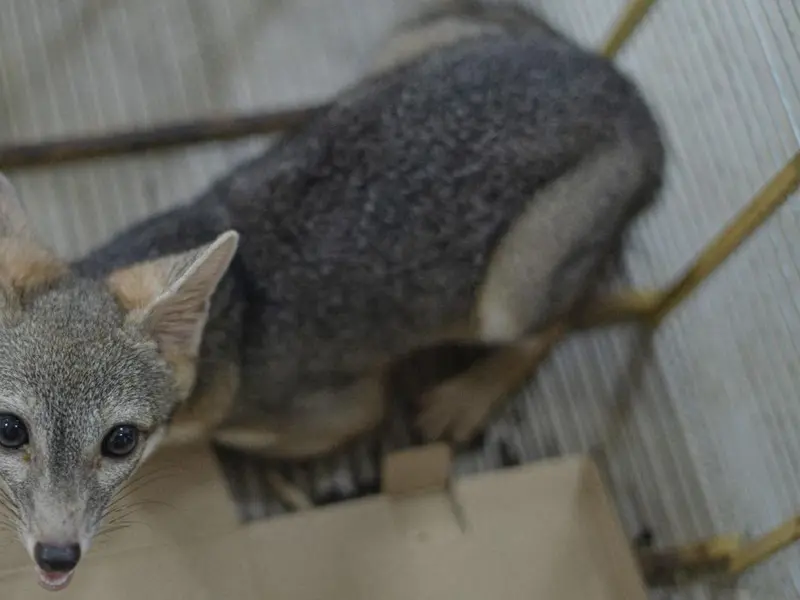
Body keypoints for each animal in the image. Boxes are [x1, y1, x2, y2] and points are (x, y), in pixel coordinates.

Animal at [0, 0, 664, 591]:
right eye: (10, 430)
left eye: (120, 441)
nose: (57, 556)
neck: (230, 328)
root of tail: (629, 93)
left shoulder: (346, 407)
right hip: (400, 48)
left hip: (507, 296)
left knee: (559, 317)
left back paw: (470, 394)